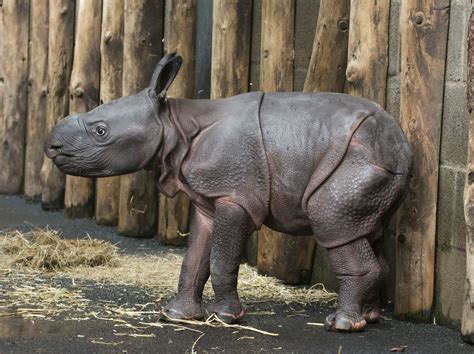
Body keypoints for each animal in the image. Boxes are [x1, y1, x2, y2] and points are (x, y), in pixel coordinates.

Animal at [43, 51, 412, 332]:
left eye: (101, 131)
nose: (51, 145)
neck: (174, 124)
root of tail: (403, 146)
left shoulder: (235, 196)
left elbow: (221, 258)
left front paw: (224, 318)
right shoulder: (209, 199)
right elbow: (194, 259)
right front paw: (176, 315)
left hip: (356, 160)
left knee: (333, 225)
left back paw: (341, 325)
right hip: (370, 164)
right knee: (363, 230)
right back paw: (369, 318)